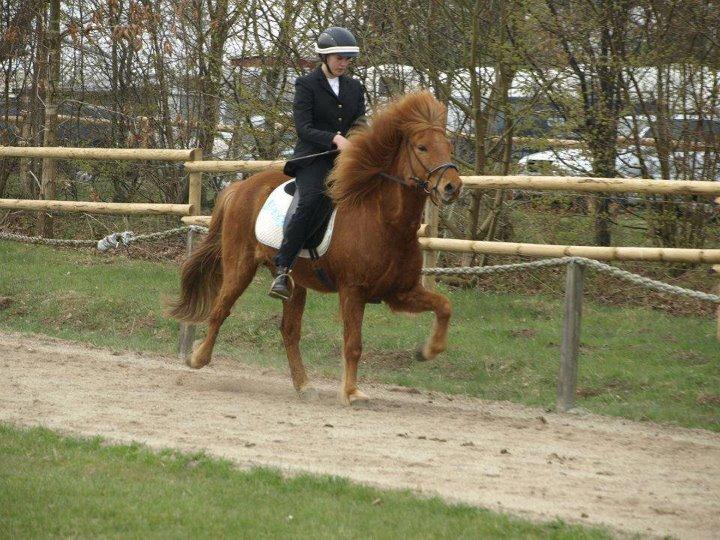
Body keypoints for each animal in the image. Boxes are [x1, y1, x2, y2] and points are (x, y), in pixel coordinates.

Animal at [169, 92, 462, 404]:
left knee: (289, 330)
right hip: (240, 265)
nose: (452, 187)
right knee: (220, 309)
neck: (387, 222)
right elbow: (353, 343)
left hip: (293, 283)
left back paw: (304, 385)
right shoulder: (353, 290)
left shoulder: (400, 292)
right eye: (422, 147)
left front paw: (427, 351)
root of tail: (241, 187)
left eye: (448, 146)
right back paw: (197, 358)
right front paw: (352, 392)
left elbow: (445, 306)